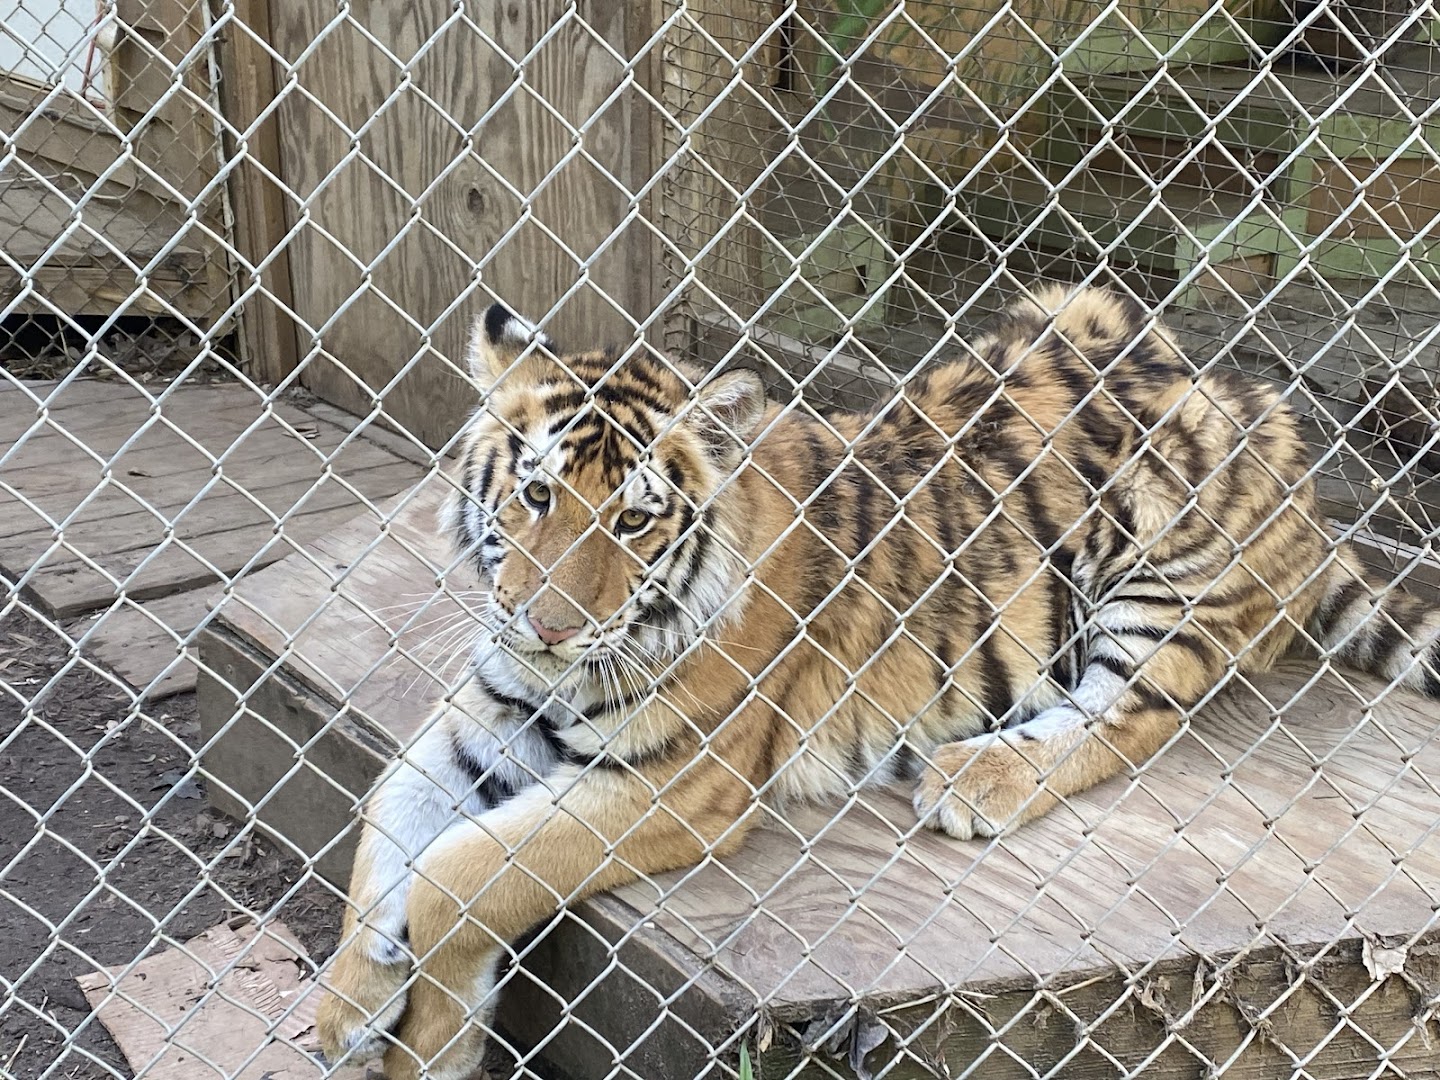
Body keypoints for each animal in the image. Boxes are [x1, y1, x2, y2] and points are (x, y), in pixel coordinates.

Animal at [316, 285, 1440, 1079]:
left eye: (633, 520)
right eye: (538, 495)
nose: (548, 625)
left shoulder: (678, 784)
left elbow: (463, 875)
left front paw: (431, 1046)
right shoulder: (486, 716)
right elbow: (387, 818)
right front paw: (347, 1009)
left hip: (1166, 584)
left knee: (1121, 718)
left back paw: (974, 779)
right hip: (1068, 310)